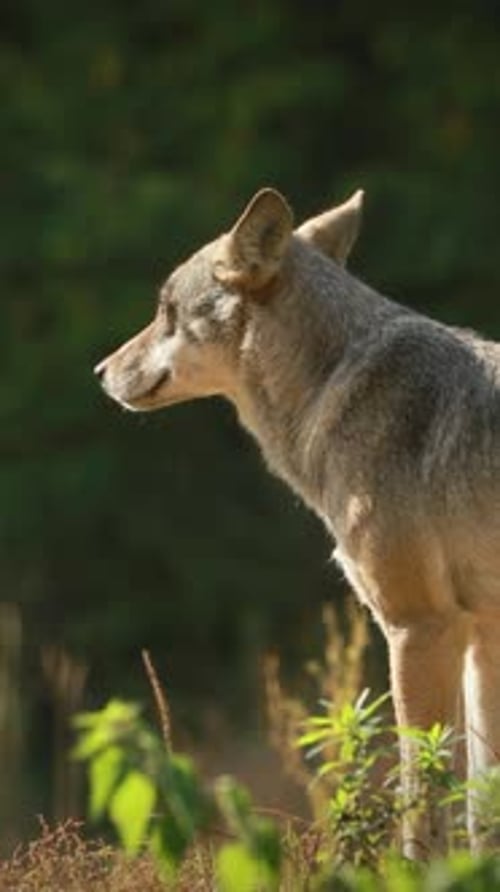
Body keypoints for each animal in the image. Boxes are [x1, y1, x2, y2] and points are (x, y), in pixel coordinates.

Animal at [95, 187, 500, 855]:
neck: (336, 391)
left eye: (166, 311)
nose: (100, 372)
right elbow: (479, 813)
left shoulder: (417, 629)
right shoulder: (481, 635)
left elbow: (423, 807)